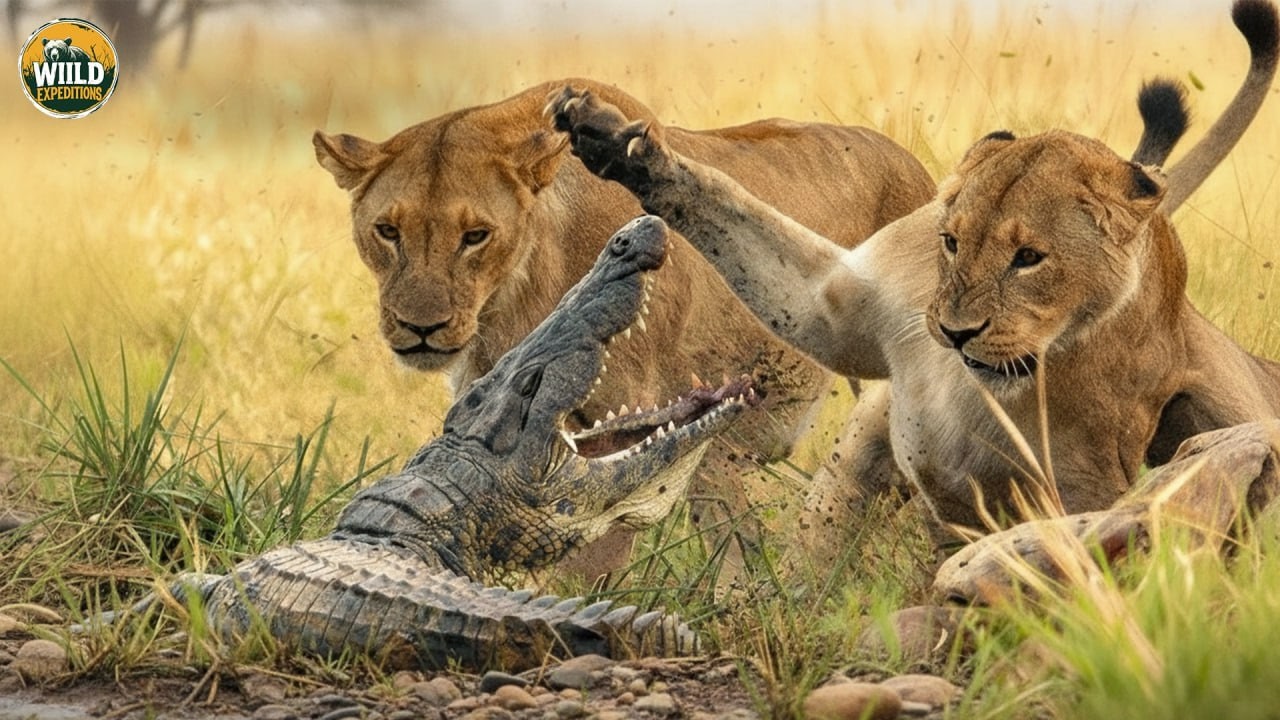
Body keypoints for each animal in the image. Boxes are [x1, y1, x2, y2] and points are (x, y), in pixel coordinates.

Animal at [313, 79, 935, 573]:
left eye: (476, 236)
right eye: (387, 231)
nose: (420, 327)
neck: (511, 296)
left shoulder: (626, 412)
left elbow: (591, 554)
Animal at [548, 0, 1280, 546]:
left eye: (1030, 259)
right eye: (951, 242)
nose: (955, 333)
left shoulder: (1084, 478)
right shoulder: (839, 304)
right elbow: (725, 199)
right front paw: (614, 138)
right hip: (853, 462)